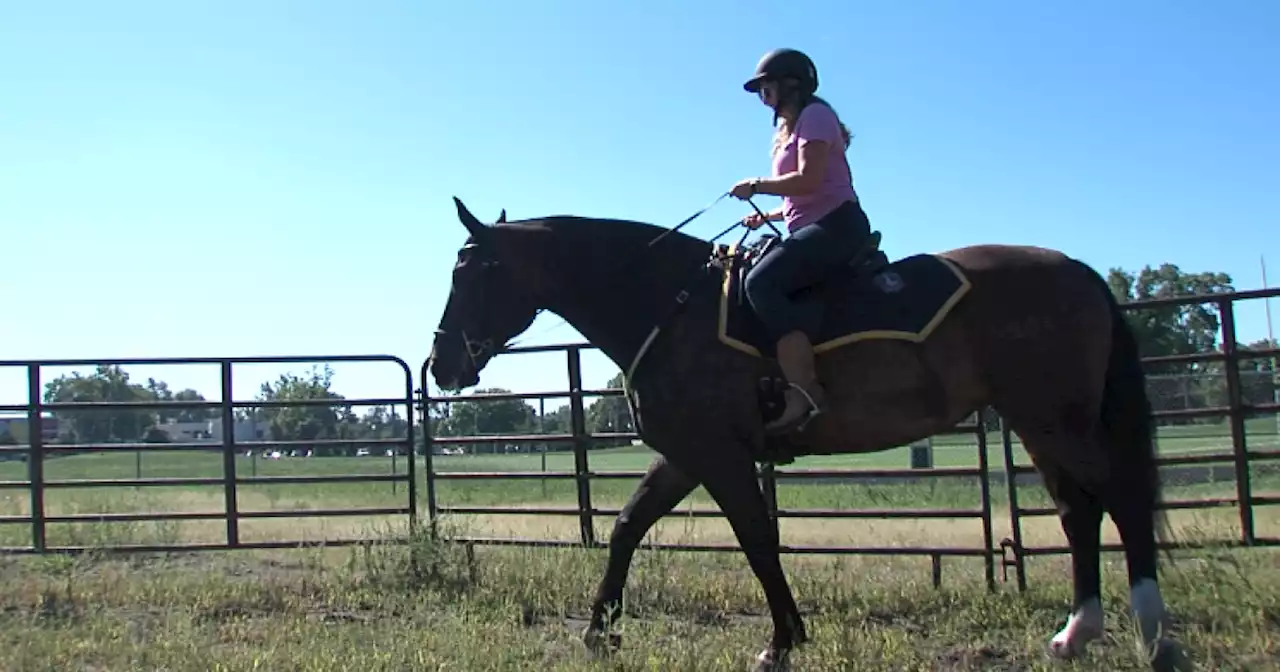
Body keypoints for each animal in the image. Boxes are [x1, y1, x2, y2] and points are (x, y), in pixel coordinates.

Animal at [430, 197, 1187, 665]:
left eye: (471, 272)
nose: (441, 365)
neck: (672, 306)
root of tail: (1078, 272)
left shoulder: (718, 456)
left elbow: (757, 540)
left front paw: (783, 639)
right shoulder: (687, 456)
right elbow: (626, 527)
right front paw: (598, 630)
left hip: (1053, 418)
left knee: (1117, 499)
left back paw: (1151, 634)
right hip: (1041, 422)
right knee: (1078, 509)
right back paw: (1077, 633)